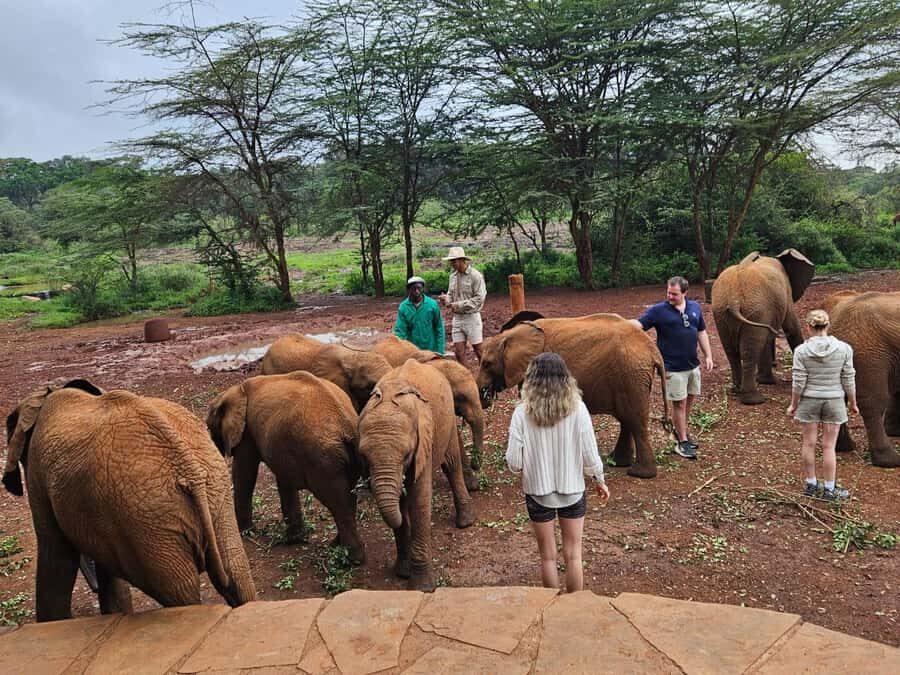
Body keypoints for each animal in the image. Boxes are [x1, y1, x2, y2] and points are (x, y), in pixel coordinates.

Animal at [3, 379, 256, 622]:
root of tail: (188, 468)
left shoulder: (38, 474)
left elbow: (56, 555)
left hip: (151, 524)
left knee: (181, 596)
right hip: (213, 494)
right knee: (236, 574)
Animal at [206, 371, 365, 563]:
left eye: (209, 427)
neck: (236, 390)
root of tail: (347, 426)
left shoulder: (247, 432)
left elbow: (245, 473)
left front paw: (245, 532)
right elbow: (284, 478)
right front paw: (294, 539)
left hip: (325, 460)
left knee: (339, 502)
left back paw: (351, 559)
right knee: (349, 497)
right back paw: (336, 547)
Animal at [357, 359, 476, 591]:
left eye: (406, 455)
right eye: (364, 457)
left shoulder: (423, 445)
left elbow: (419, 501)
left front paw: (422, 587)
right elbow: (401, 508)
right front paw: (402, 573)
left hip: (447, 420)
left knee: (451, 465)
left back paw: (466, 523)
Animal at [477, 314, 670, 479]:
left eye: (487, 364)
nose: (486, 395)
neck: (512, 335)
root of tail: (652, 348)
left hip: (630, 374)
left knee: (635, 420)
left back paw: (639, 474)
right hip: (631, 377)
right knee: (627, 419)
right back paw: (617, 462)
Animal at [711, 249, 815, 404]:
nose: (775, 364)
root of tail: (733, 299)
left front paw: (766, 381)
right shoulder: (785, 294)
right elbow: (791, 328)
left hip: (722, 311)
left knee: (732, 352)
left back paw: (736, 390)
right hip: (754, 309)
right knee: (749, 352)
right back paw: (754, 400)